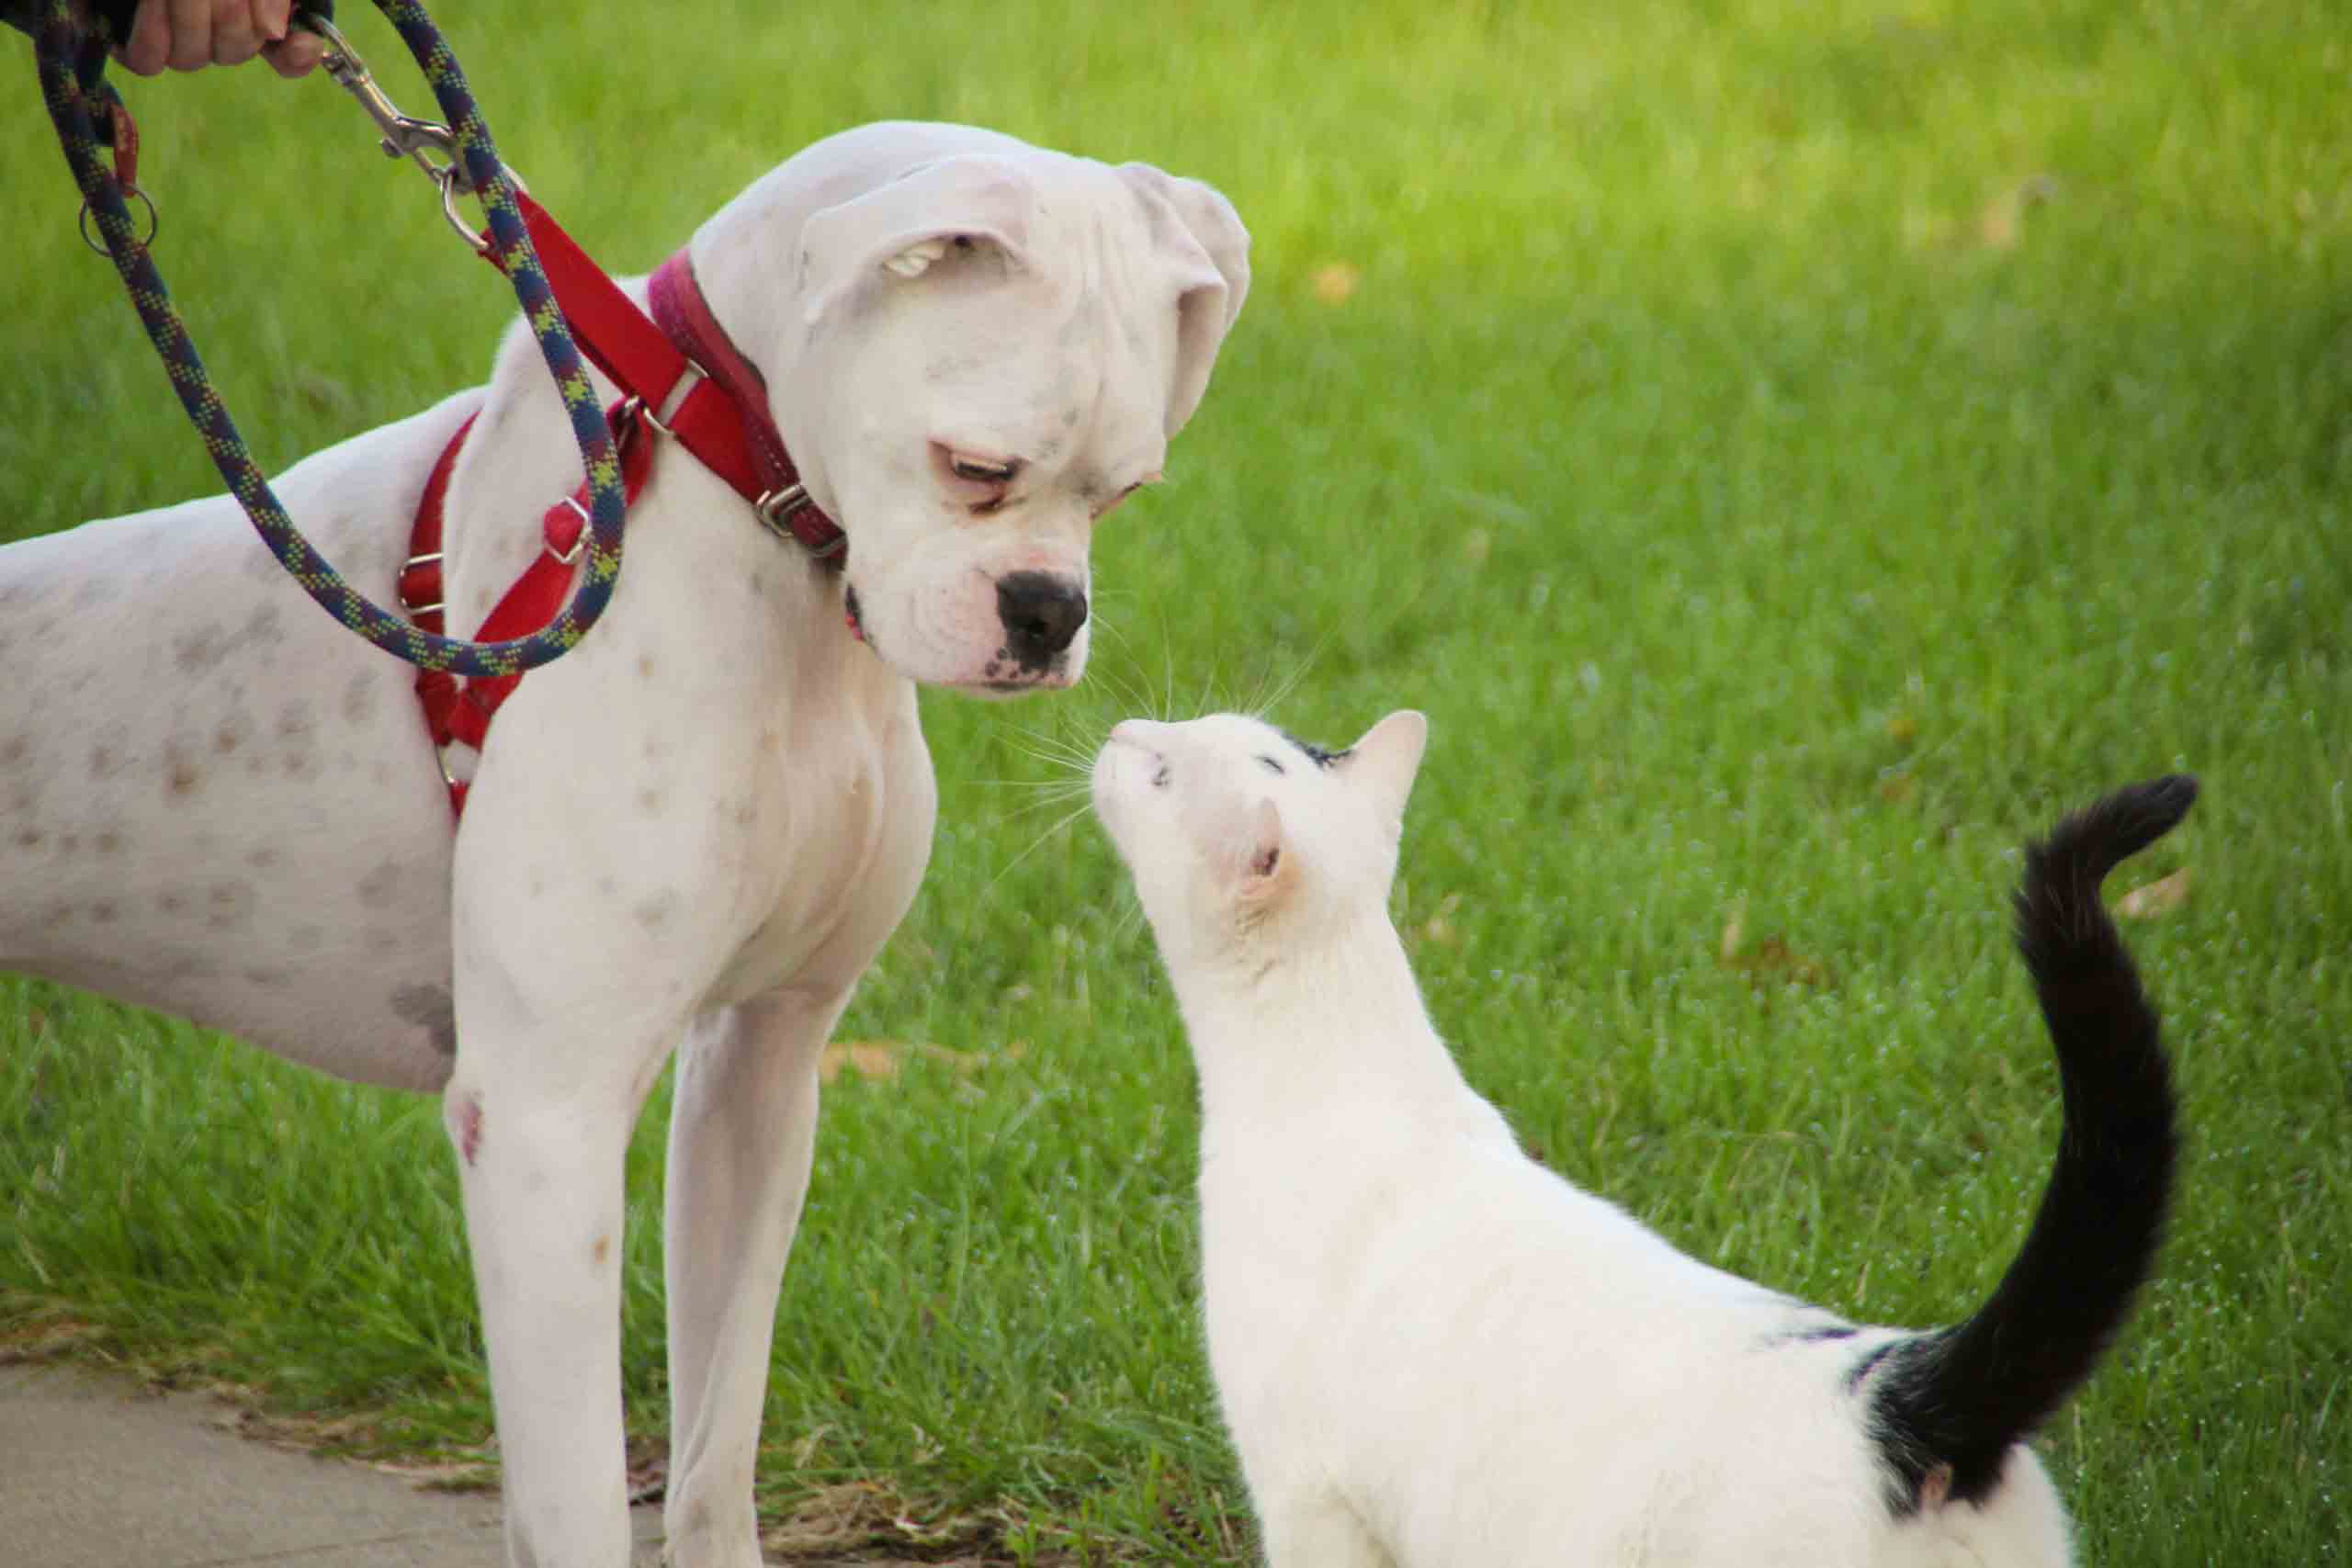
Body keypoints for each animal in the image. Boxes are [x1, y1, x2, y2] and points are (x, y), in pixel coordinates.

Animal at [0, 122, 1250, 1568]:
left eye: (1125, 491)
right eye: (974, 468)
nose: (1047, 613)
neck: (738, 502)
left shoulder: (761, 1070)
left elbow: (715, 1444)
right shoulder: (545, 1118)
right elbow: (578, 1493)